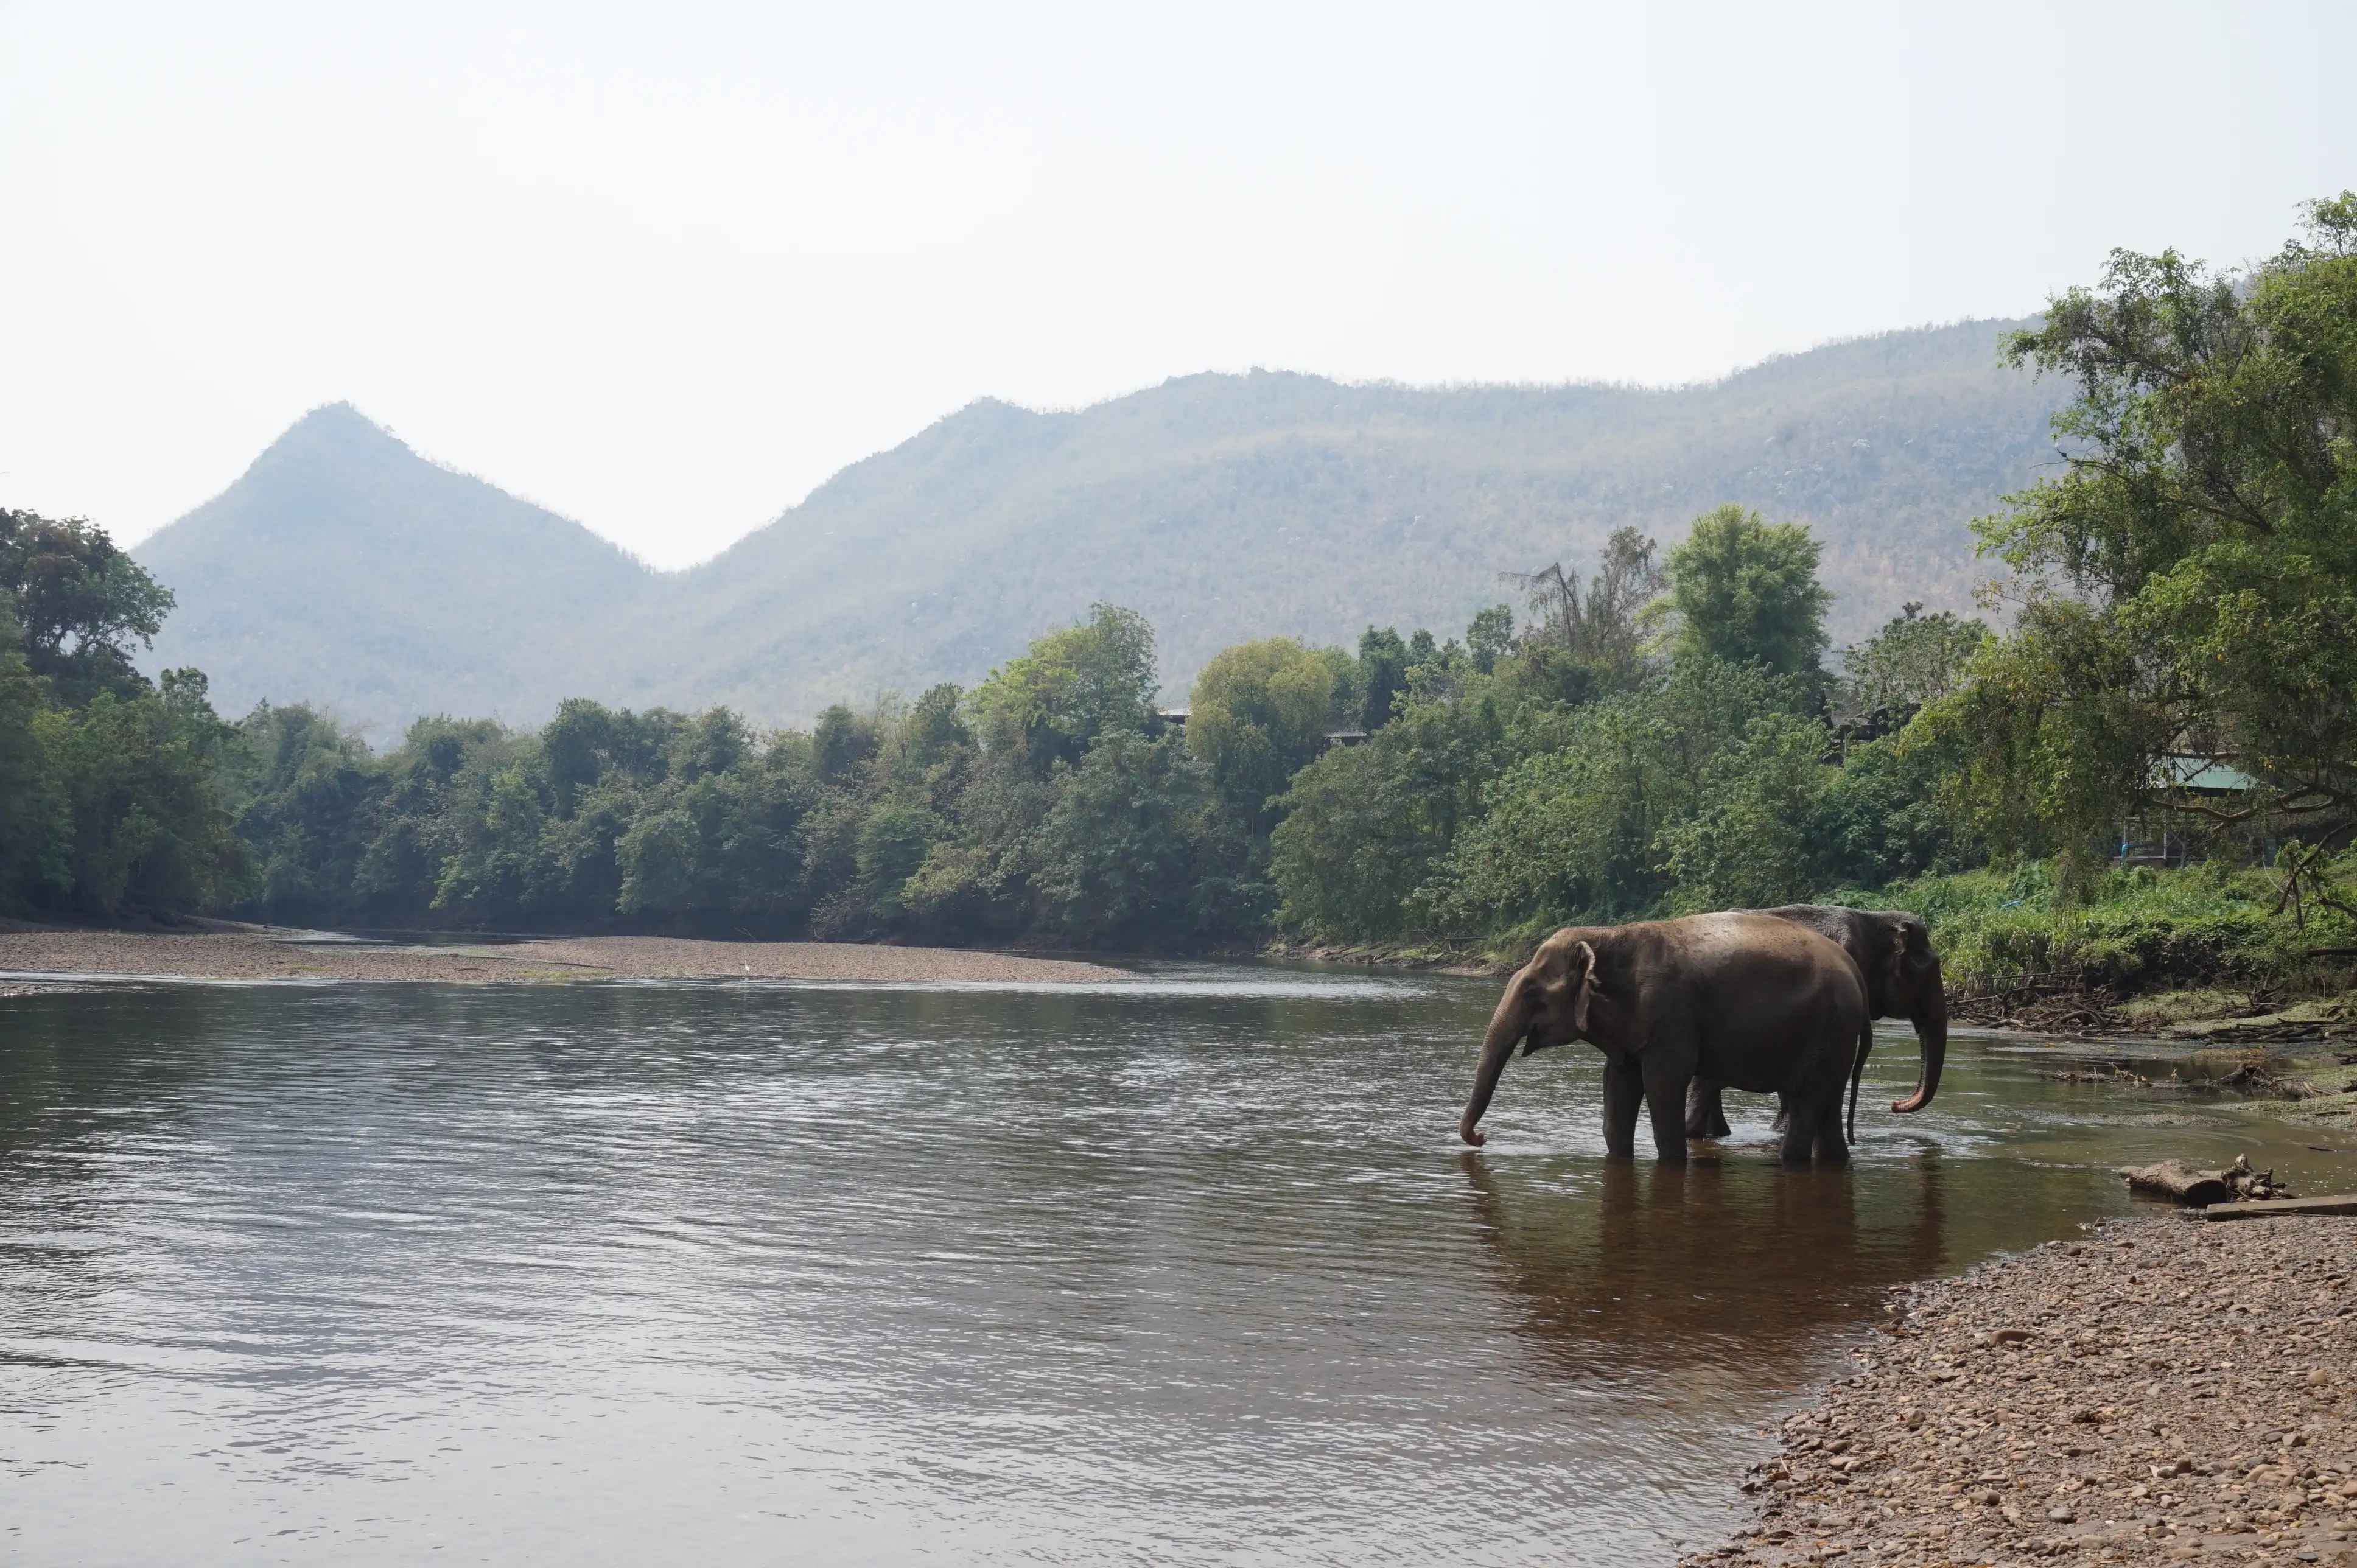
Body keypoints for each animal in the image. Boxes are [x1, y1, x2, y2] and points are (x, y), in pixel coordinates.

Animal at [1452, 910, 1876, 1155]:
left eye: (1531, 993)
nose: (1482, 1138)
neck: (1610, 934)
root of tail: (1857, 974)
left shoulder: (1670, 1016)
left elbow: (1663, 1086)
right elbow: (1617, 1096)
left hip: (1828, 1030)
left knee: (1807, 1105)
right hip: (1835, 1037)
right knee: (1828, 1109)